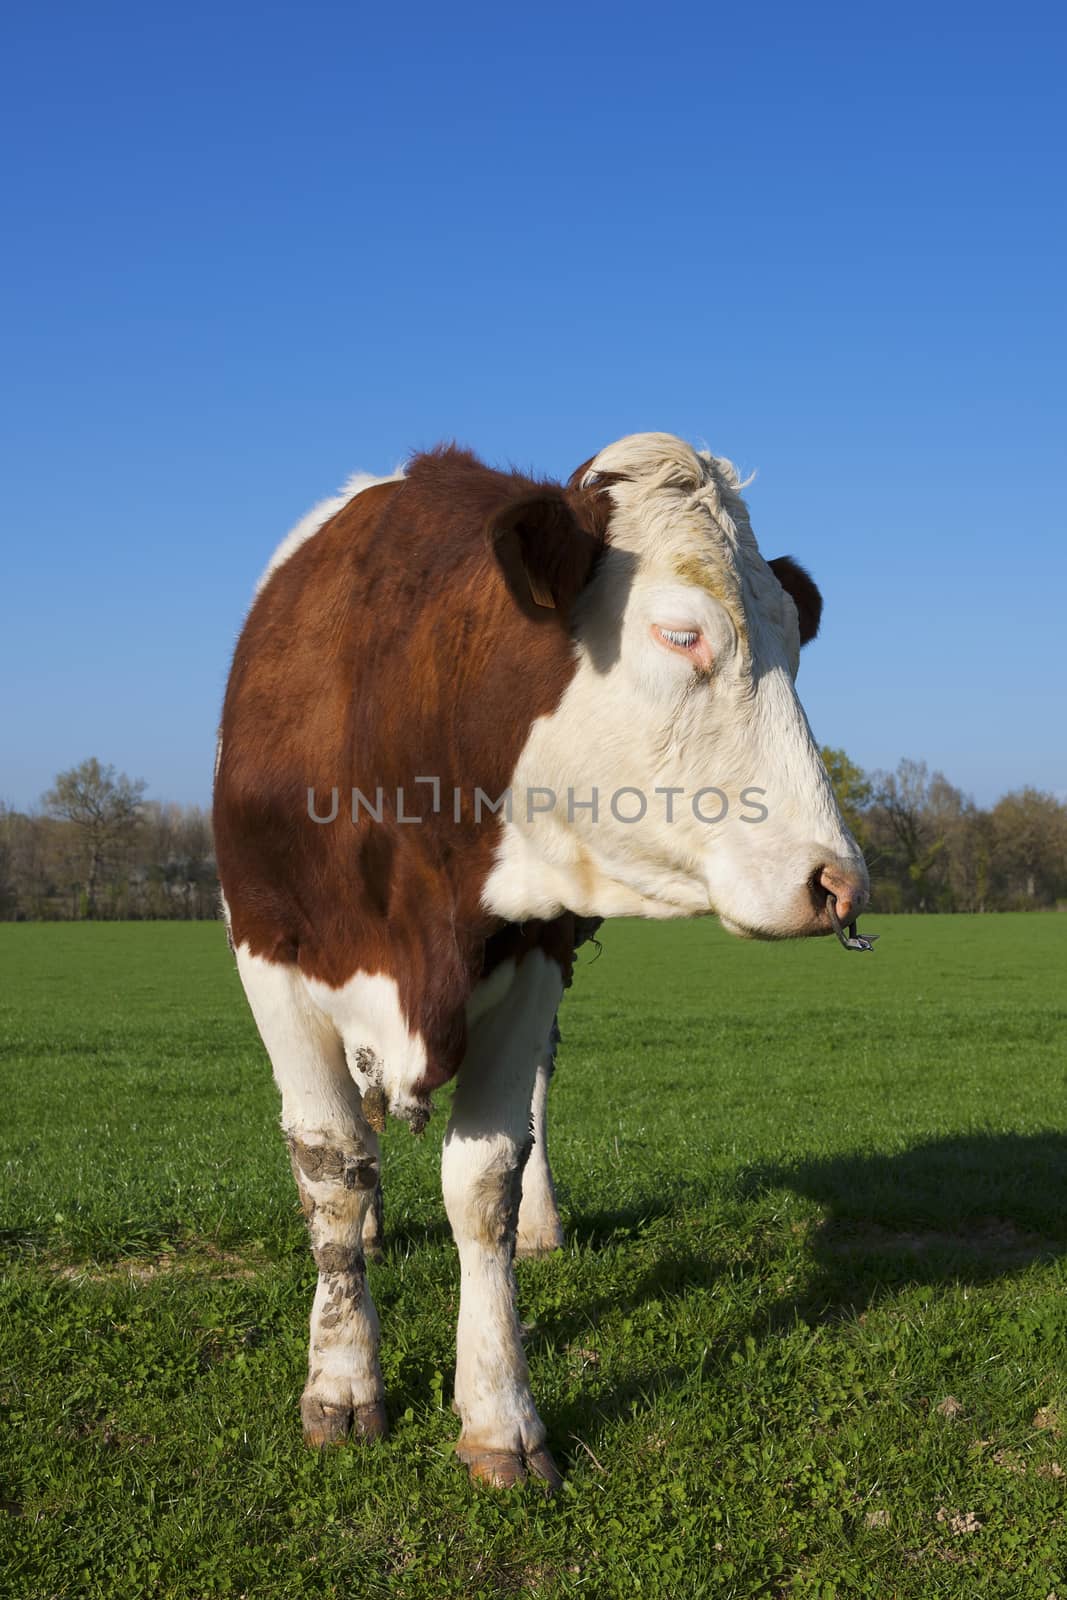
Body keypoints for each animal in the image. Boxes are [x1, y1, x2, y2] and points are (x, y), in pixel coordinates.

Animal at [214, 435, 870, 1484]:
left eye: (794, 647)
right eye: (680, 636)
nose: (837, 881)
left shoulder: (531, 958)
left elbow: (483, 1181)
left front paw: (498, 1414)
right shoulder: (268, 953)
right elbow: (329, 1166)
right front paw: (342, 1380)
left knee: (531, 1105)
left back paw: (540, 1227)